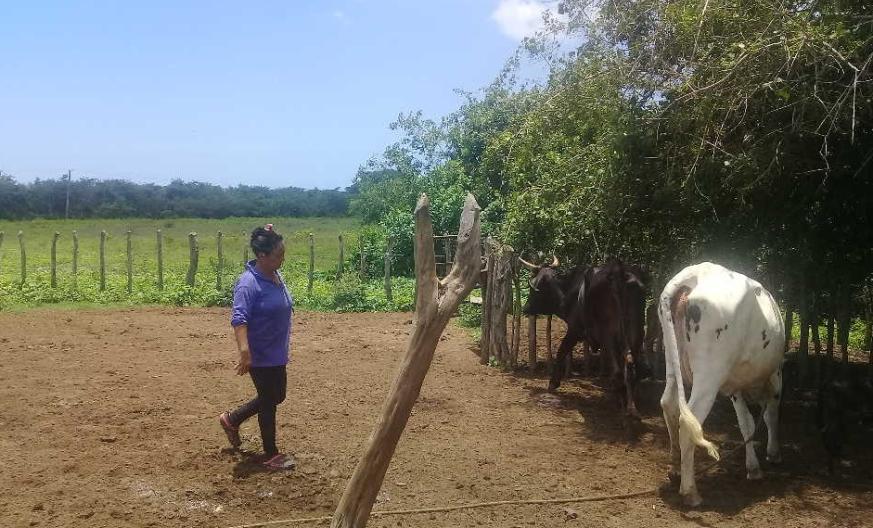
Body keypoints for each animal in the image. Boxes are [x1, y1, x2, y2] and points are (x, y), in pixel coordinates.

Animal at [516, 258, 648, 414]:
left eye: (533, 288)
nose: (525, 308)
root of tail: (619, 271)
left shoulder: (575, 330)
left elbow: (561, 352)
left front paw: (553, 383)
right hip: (636, 333)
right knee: (634, 368)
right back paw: (631, 406)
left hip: (608, 336)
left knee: (618, 372)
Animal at [656, 262, 788, 506]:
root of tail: (695, 274)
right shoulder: (776, 375)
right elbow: (771, 415)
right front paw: (774, 453)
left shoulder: (734, 387)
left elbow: (746, 423)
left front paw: (753, 468)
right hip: (710, 373)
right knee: (689, 421)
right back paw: (690, 492)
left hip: (671, 356)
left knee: (669, 404)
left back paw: (675, 469)